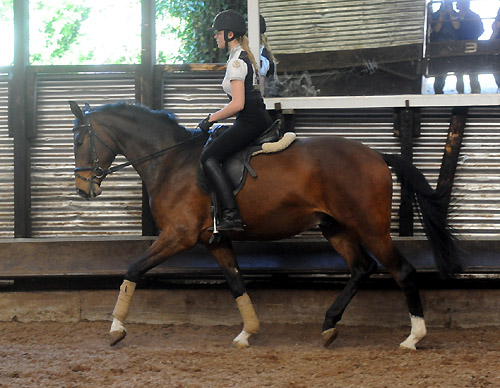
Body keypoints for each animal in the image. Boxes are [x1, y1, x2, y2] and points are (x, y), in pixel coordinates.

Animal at [68, 101, 458, 350]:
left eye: (78, 140)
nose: (84, 189)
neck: (170, 160)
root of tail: (377, 154)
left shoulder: (178, 235)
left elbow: (133, 269)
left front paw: (116, 329)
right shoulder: (214, 241)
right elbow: (237, 283)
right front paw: (248, 333)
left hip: (369, 226)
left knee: (402, 270)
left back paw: (413, 338)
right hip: (335, 226)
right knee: (362, 268)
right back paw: (329, 326)